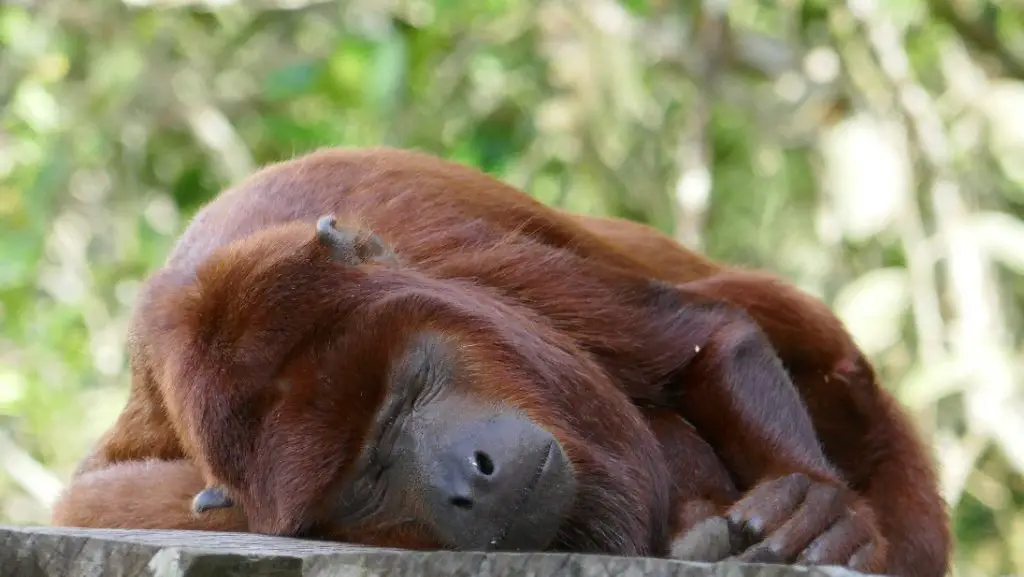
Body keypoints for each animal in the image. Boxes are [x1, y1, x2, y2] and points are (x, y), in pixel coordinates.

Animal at [54, 147, 950, 577]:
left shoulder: (461, 256)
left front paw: (821, 513)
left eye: (410, 389)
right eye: (365, 476)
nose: (467, 479)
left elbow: (709, 338)